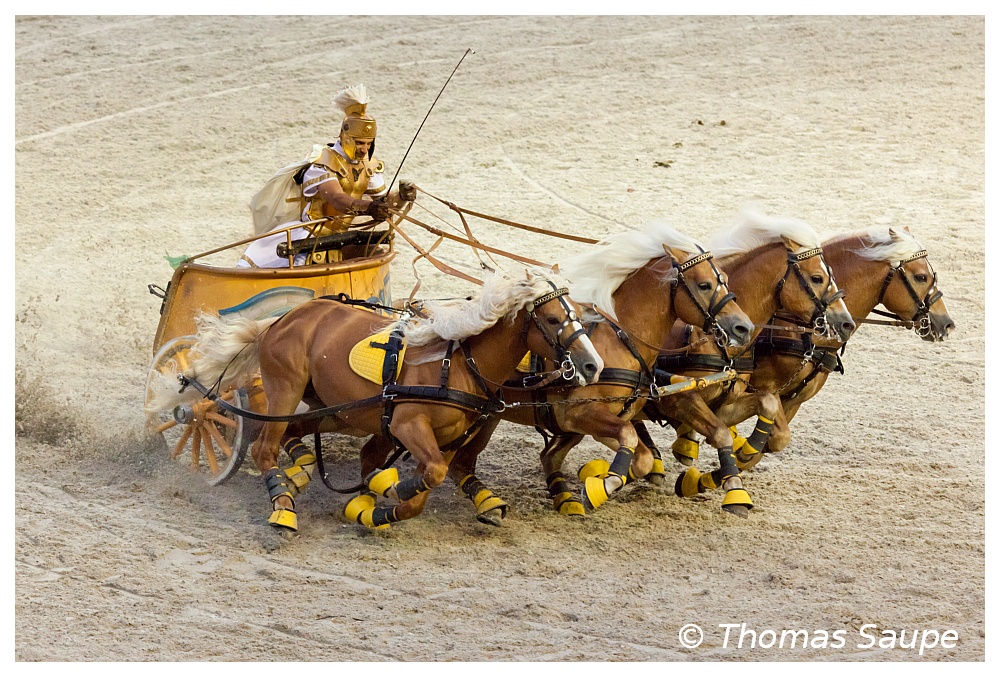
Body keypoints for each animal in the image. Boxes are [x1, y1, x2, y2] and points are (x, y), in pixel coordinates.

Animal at [148, 266, 600, 532]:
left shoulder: (448, 440)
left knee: (297, 435)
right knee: (263, 448)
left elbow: (428, 486)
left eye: (579, 314)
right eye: (554, 319)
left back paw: (301, 473)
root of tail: (282, 318)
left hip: (339, 410)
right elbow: (429, 476)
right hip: (285, 390)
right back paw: (282, 505)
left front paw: (381, 509)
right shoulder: (406, 425)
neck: (456, 364)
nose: (593, 365)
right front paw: (390, 490)